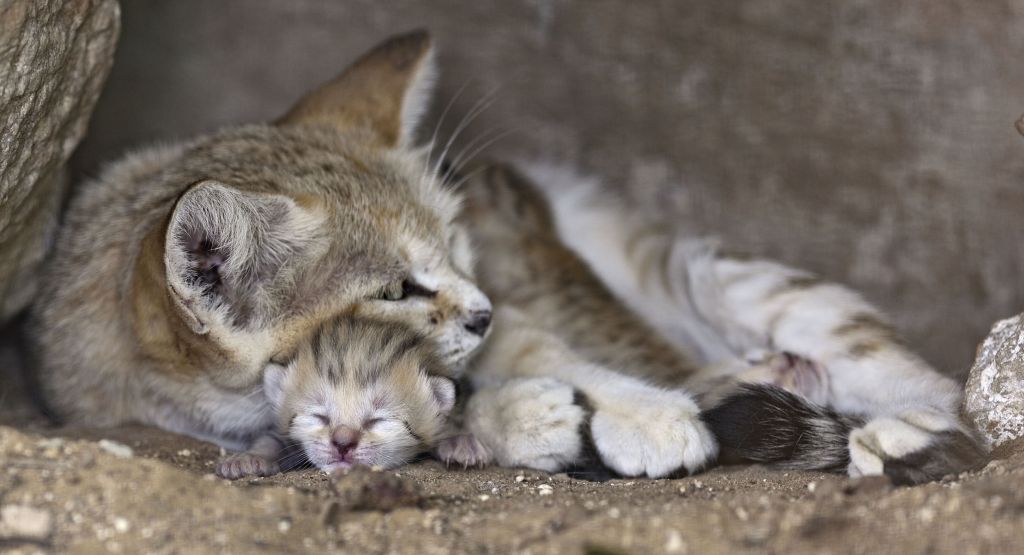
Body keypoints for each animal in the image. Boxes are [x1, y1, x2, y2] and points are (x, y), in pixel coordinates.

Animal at [218, 317, 454, 483]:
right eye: (319, 416)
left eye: (377, 420)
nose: (342, 444)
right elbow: (271, 438)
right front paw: (249, 459)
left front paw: (456, 444)